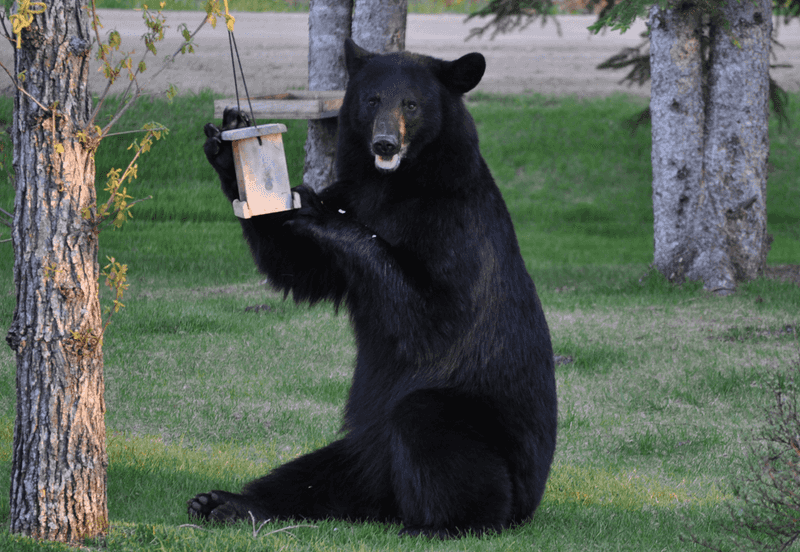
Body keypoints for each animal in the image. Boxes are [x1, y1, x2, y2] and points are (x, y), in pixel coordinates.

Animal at [187, 38, 557, 538]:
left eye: (412, 104)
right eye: (372, 100)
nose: (385, 143)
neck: (392, 186)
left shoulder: (455, 225)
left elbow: (432, 312)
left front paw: (317, 211)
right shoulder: (355, 193)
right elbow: (302, 269)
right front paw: (232, 151)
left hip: (484, 438)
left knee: (429, 429)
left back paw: (440, 524)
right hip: (361, 450)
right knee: (314, 477)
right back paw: (226, 503)